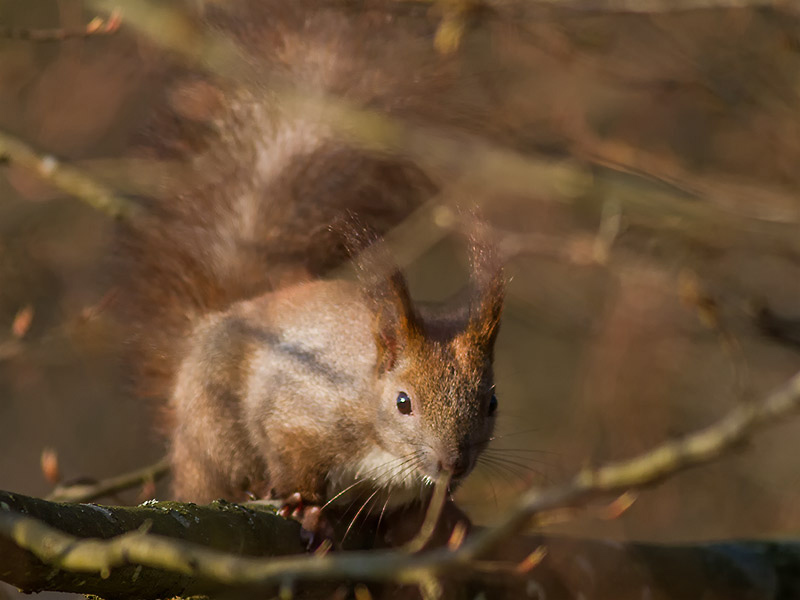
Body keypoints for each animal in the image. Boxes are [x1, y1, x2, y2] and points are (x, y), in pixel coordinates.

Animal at [117, 0, 506, 524]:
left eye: (492, 402)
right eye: (403, 402)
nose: (452, 464)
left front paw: (441, 517)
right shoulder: (301, 406)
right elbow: (289, 446)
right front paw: (303, 503)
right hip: (212, 429)